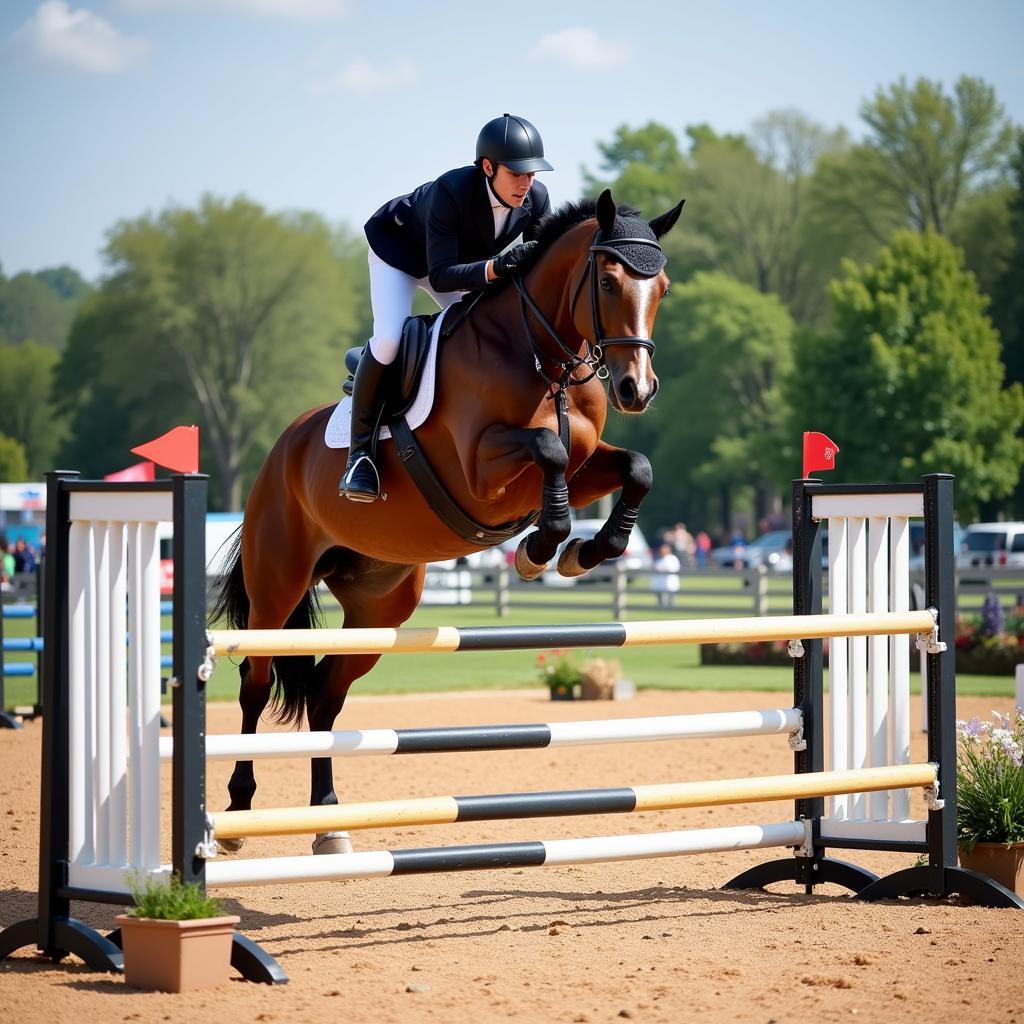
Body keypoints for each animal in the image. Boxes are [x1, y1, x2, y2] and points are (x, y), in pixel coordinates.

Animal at [210, 188, 684, 851]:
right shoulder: (483, 474)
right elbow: (548, 450)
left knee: (326, 697)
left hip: (380, 608)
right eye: (610, 282)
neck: (539, 356)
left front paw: (585, 551)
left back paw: (328, 823)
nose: (636, 389)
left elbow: (635, 467)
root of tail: (281, 450)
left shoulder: (588, 461)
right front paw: (540, 549)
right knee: (254, 683)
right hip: (276, 584)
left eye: (661, 286)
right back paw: (236, 814)